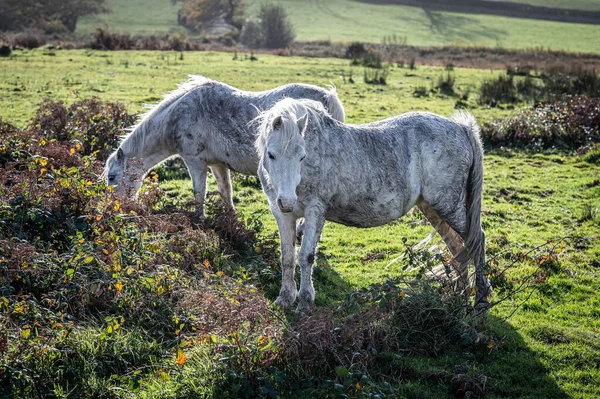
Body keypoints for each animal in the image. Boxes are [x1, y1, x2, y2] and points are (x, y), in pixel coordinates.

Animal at [103, 76, 344, 217]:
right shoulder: (217, 164)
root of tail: (327, 98)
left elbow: (199, 192)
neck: (179, 115)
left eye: (112, 177)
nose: (114, 208)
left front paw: (199, 219)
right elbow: (225, 191)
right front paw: (231, 220)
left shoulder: (195, 161)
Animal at [255, 99, 490, 318]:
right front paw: (285, 299)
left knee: (477, 241)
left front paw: (304, 302)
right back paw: (459, 298)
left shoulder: (315, 209)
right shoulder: (282, 214)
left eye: (302, 156)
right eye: (271, 154)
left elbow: (306, 256)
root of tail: (462, 129)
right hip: (434, 208)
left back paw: (480, 303)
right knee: (458, 247)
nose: (287, 201)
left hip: (450, 207)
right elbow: (287, 256)